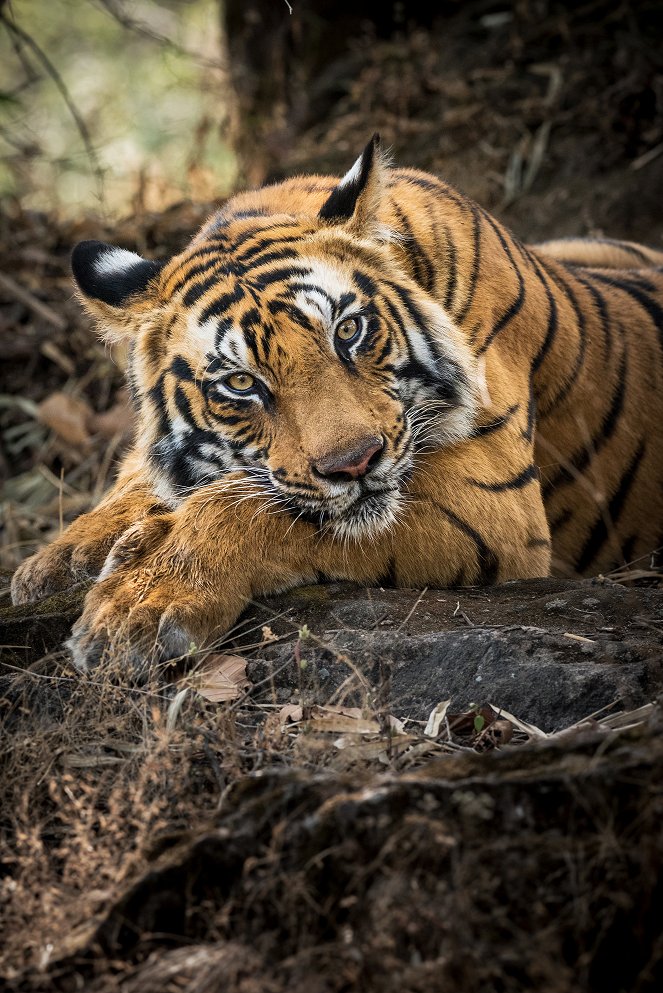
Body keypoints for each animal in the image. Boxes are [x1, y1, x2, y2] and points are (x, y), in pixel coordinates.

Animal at [10, 134, 663, 676]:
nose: (355, 464)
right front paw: (57, 561)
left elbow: (246, 506)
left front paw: (140, 604)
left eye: (349, 331)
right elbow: (146, 476)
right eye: (242, 384)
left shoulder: (496, 499)